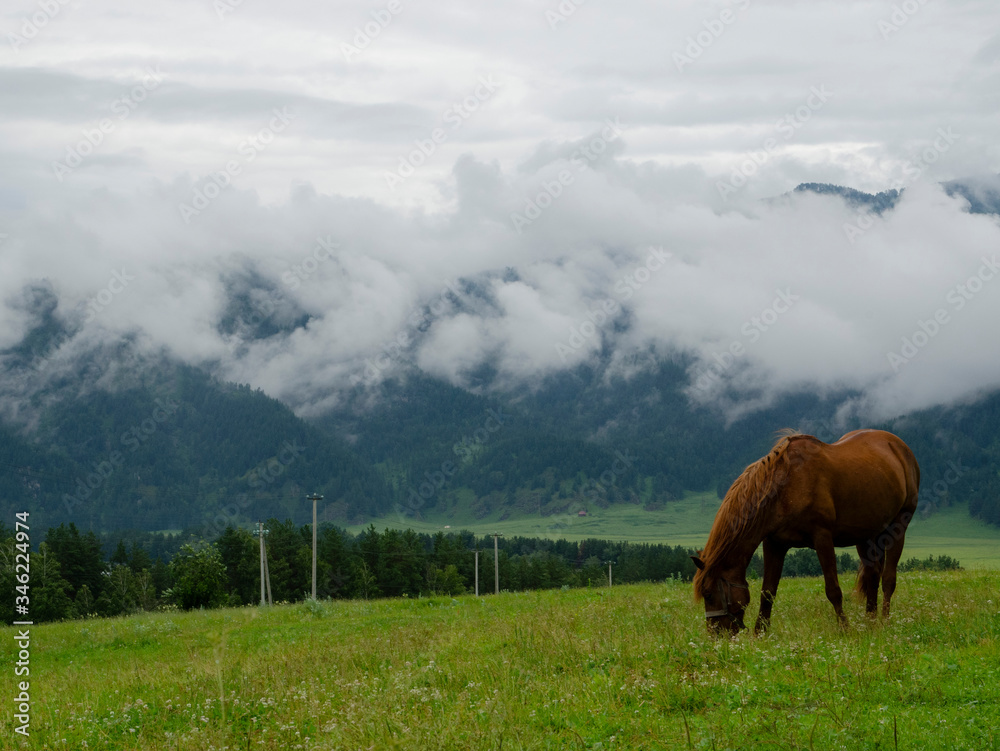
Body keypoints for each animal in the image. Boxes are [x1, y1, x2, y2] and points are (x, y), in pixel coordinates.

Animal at [696, 428, 920, 636]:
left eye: (708, 594)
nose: (716, 635)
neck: (786, 487)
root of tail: (898, 446)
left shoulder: (822, 538)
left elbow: (833, 590)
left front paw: (845, 628)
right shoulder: (774, 543)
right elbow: (767, 591)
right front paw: (760, 633)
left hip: (899, 525)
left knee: (888, 579)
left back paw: (885, 622)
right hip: (866, 535)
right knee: (873, 575)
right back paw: (870, 623)